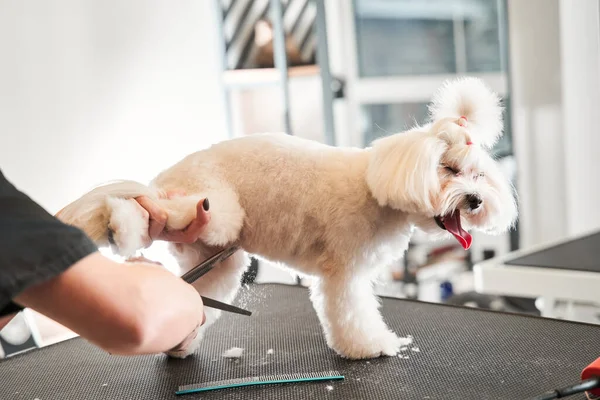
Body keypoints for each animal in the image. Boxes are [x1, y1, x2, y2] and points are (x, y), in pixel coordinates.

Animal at [55, 77, 516, 360]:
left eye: (479, 174)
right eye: (448, 170)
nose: (475, 200)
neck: (378, 188)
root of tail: (167, 176)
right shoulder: (343, 273)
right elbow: (353, 314)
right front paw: (370, 346)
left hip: (214, 251)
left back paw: (181, 338)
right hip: (211, 206)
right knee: (143, 205)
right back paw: (119, 226)